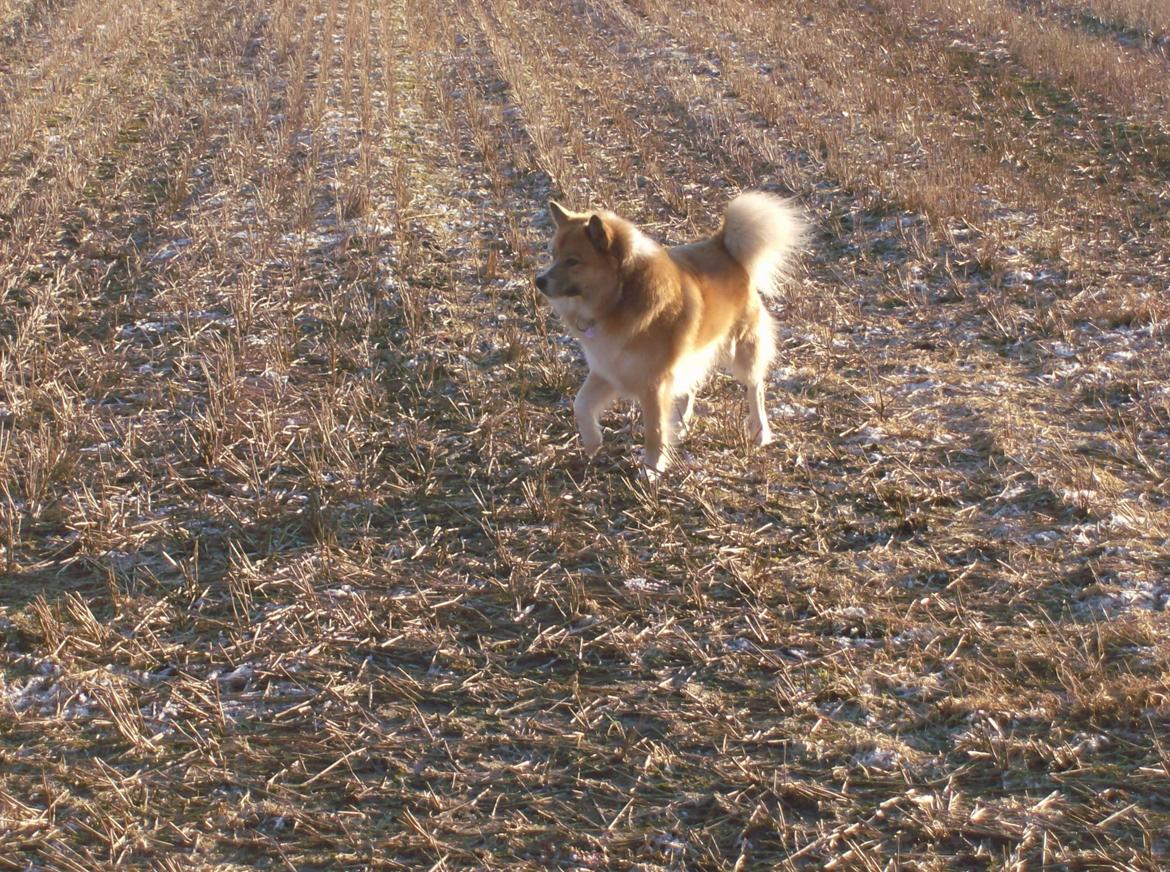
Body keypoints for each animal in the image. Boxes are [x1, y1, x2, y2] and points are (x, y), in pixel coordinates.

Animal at [535, 190, 804, 475]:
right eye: (553, 255)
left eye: (573, 261)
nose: (538, 281)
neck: (621, 297)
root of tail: (723, 246)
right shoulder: (609, 368)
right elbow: (581, 404)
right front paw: (592, 442)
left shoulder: (653, 383)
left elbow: (654, 430)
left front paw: (652, 469)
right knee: (690, 385)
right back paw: (683, 423)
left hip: (742, 349)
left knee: (755, 388)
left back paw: (760, 431)